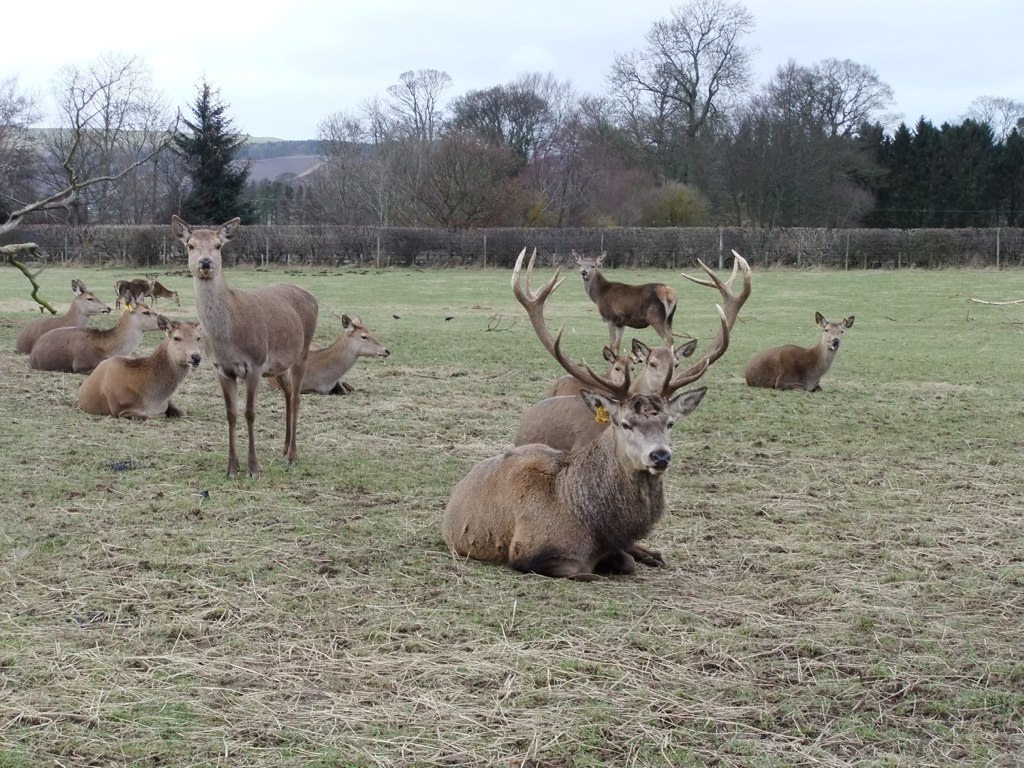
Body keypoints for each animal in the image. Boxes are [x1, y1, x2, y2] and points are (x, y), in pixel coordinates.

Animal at [171, 215, 318, 478]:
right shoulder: (221, 368)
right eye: (190, 245)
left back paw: (293, 455)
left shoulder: (255, 363)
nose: (206, 262)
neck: (229, 340)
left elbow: (250, 413)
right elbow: (231, 413)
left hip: (302, 352)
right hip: (278, 365)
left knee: (297, 397)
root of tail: (313, 298)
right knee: (288, 393)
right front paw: (231, 467)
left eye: (218, 245)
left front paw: (253, 468)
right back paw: (283, 448)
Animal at [442, 247, 751, 580]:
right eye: (625, 424)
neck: (594, 524)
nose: (660, 455)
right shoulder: (528, 552)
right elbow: (591, 568)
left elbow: (626, 559)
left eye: (670, 423)